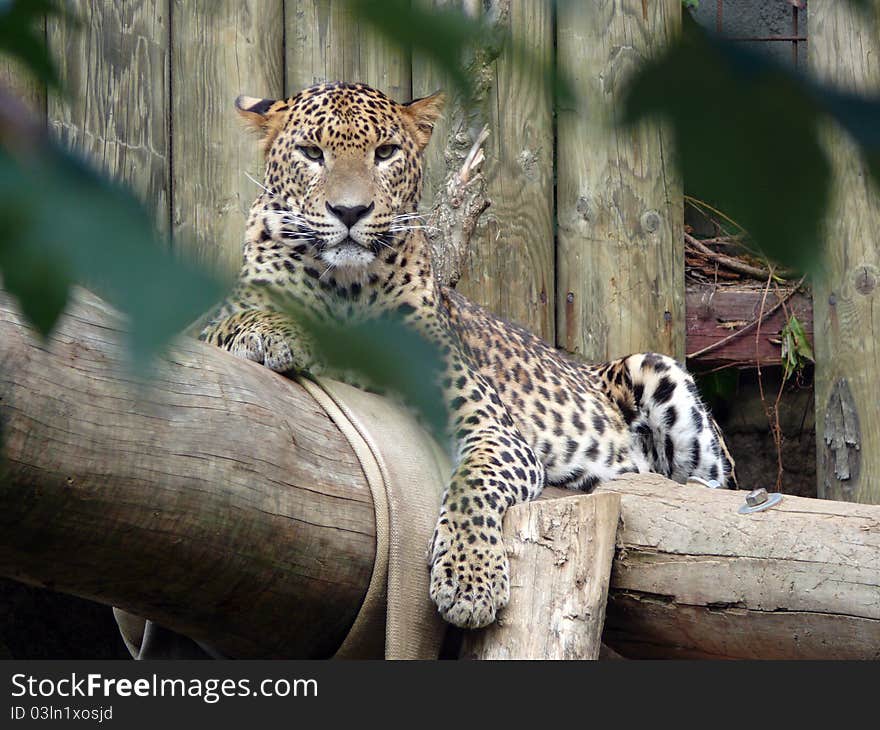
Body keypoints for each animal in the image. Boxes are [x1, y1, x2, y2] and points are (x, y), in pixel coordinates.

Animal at [201, 78, 736, 624]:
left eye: (385, 153)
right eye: (312, 153)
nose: (350, 212)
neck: (345, 287)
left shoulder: (493, 429)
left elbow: (472, 486)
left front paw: (470, 579)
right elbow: (223, 322)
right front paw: (269, 330)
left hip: (661, 376)